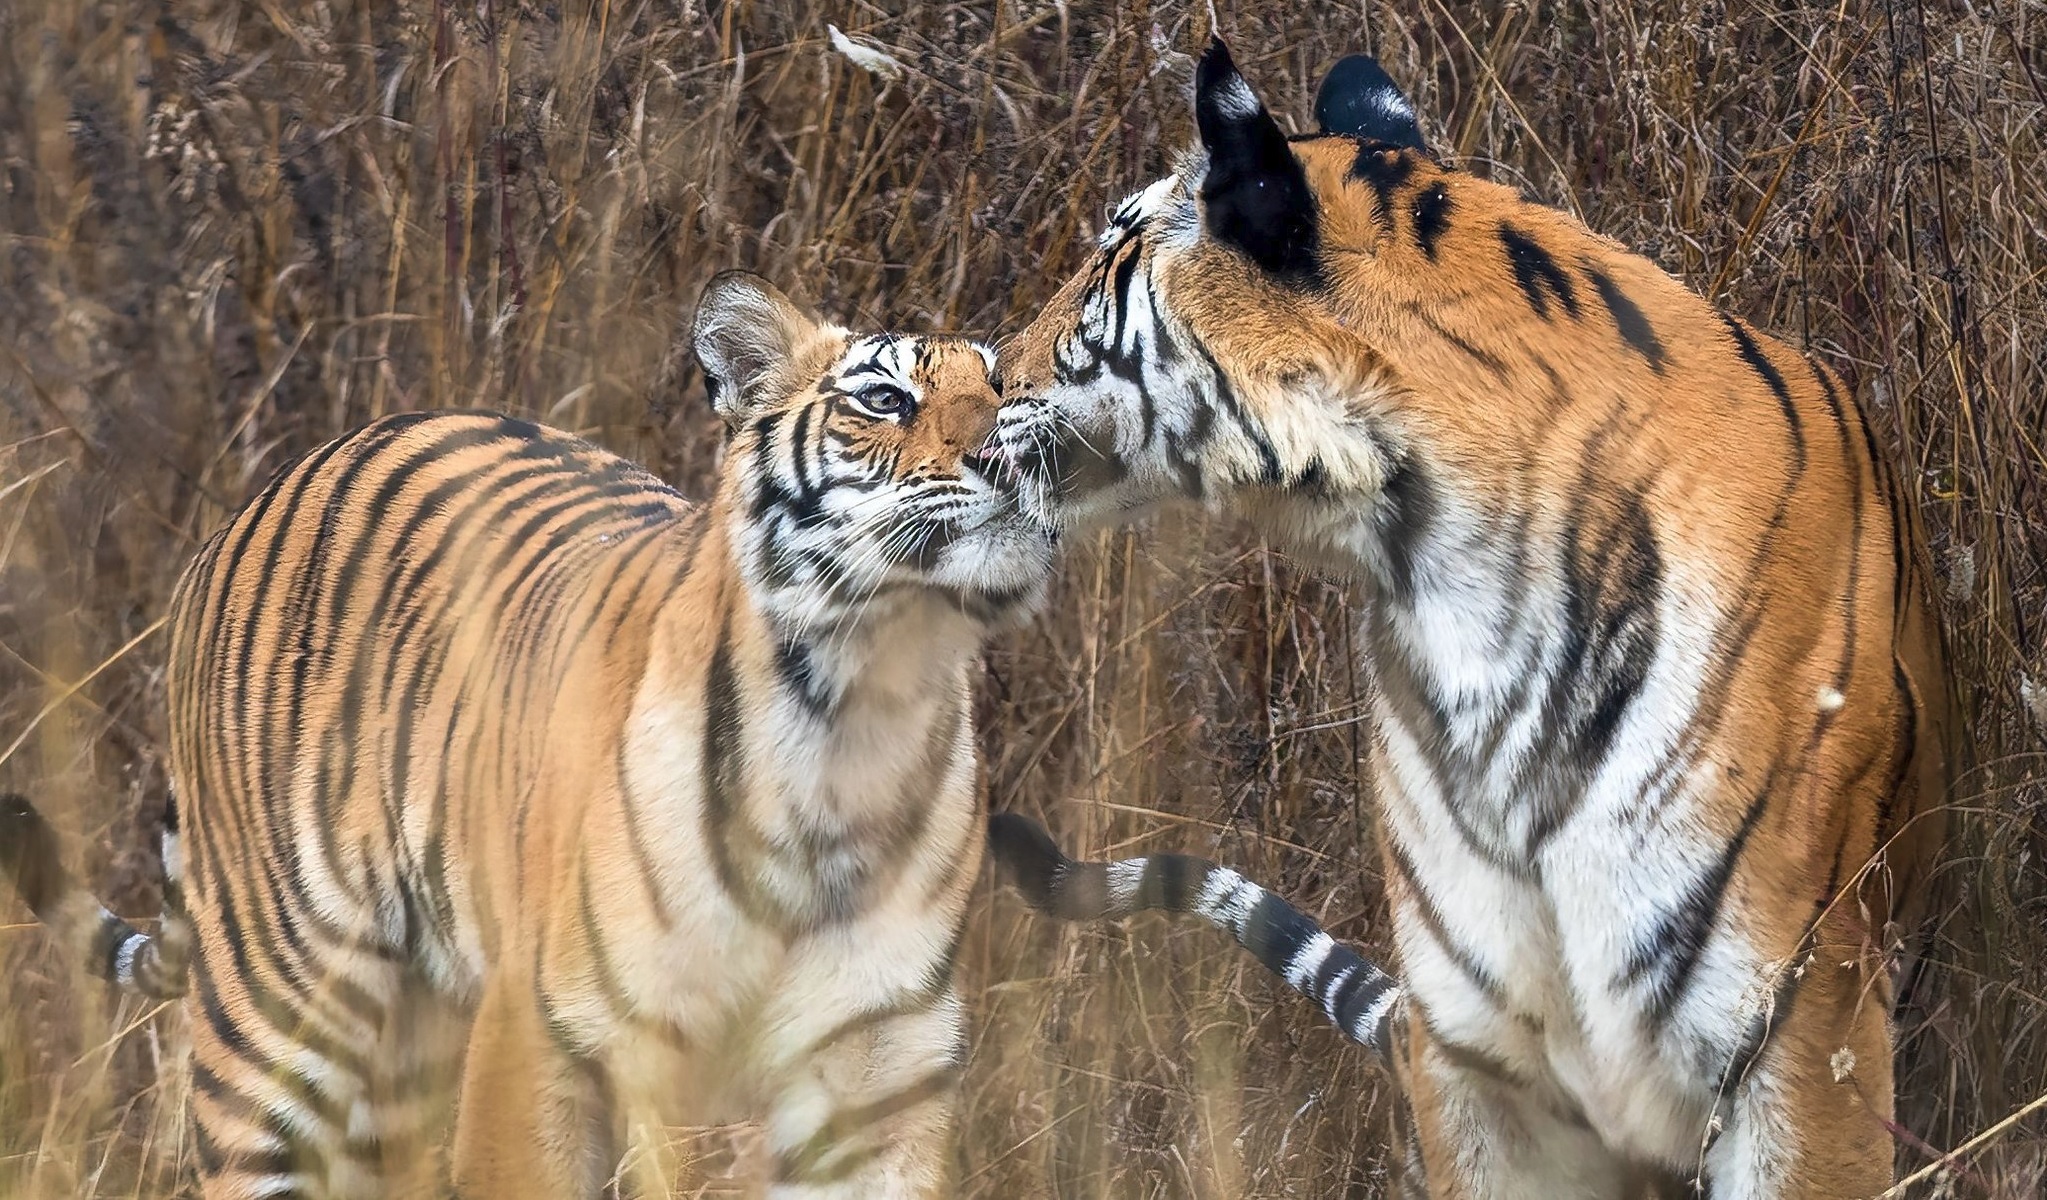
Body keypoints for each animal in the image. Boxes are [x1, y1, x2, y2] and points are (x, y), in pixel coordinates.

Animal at [0, 270, 1054, 1200]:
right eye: (883, 398)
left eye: (1011, 388)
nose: (1021, 453)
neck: (859, 708)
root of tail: (258, 500)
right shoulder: (543, 1033)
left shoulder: (880, 1070)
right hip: (275, 1010)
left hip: (406, 1052)